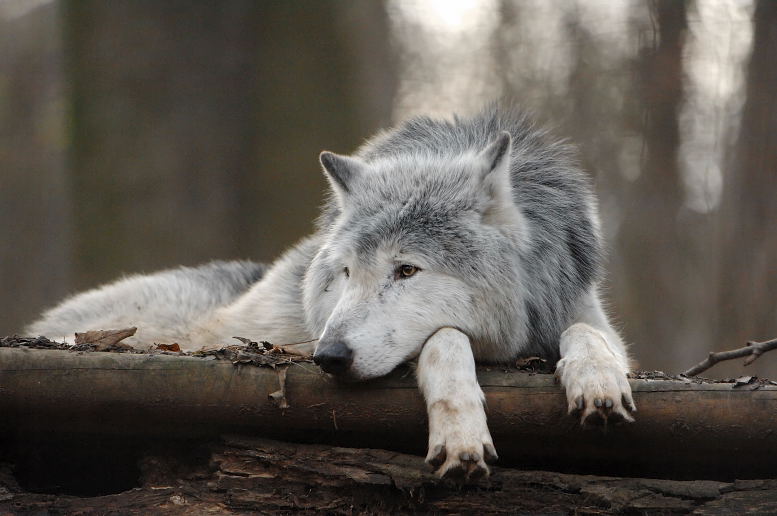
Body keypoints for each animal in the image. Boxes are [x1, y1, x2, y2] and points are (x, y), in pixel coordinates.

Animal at [27, 108, 632, 480]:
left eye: (407, 271)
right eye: (344, 273)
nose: (328, 356)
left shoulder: (578, 311)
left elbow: (587, 333)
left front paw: (597, 383)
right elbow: (446, 339)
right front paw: (461, 432)